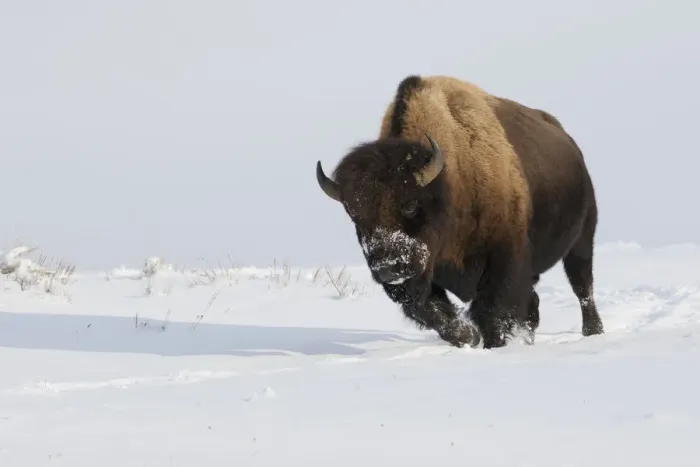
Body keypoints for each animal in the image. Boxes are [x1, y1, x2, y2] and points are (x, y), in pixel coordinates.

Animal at [315, 75, 604, 349]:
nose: (388, 269)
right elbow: (433, 312)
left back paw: (594, 331)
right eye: (354, 215)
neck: (449, 182)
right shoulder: (424, 275)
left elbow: (491, 312)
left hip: (581, 239)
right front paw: (469, 337)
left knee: (583, 287)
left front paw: (492, 345)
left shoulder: (503, 260)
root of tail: (570, 144)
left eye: (410, 205)